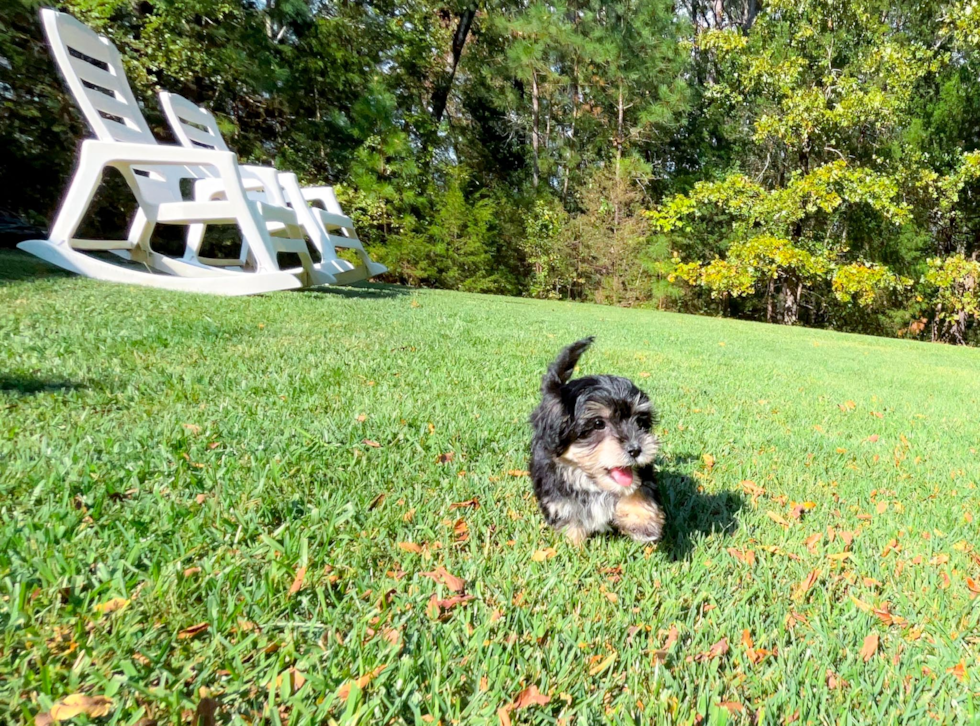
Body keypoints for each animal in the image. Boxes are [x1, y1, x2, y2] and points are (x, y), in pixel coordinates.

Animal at [528, 338, 668, 548]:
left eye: (640, 422)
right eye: (598, 424)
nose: (636, 449)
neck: (591, 483)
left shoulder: (643, 473)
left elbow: (638, 488)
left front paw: (643, 523)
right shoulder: (556, 493)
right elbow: (570, 518)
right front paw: (573, 548)